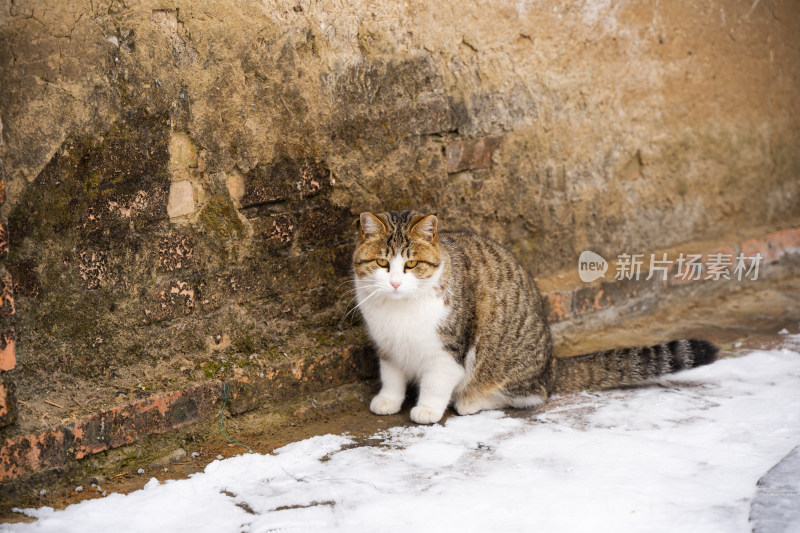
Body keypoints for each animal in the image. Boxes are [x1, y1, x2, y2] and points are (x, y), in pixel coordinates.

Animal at [354, 210, 716, 422]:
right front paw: (388, 400)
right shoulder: (387, 345)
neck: (400, 308)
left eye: (411, 264)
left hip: (510, 362)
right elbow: (392, 376)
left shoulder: (449, 351)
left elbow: (436, 382)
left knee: (531, 395)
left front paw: (427, 409)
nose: (395, 282)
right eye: (383, 263)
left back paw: (472, 400)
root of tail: (551, 364)